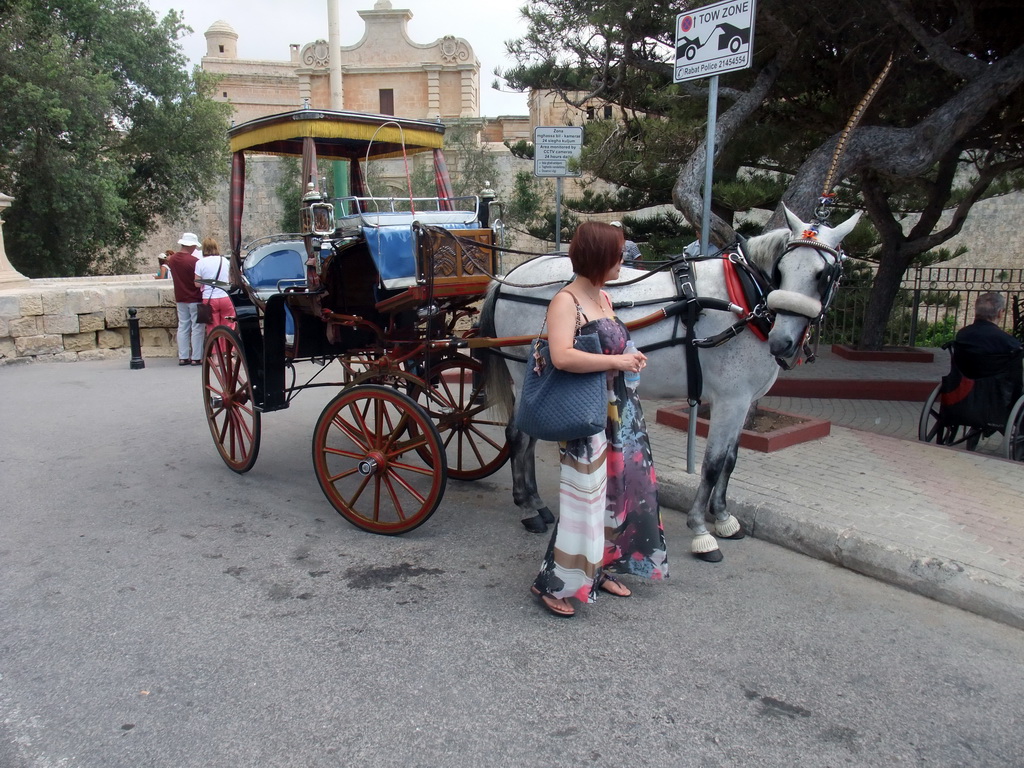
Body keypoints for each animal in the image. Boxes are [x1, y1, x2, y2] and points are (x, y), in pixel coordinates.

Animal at [477, 207, 856, 561]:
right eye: (782, 268)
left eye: (824, 274)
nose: (782, 343)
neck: (743, 298)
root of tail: (508, 278)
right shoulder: (730, 400)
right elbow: (713, 463)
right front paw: (701, 530)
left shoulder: (743, 401)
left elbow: (731, 460)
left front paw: (723, 516)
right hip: (526, 374)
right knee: (519, 437)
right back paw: (528, 509)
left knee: (527, 438)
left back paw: (536, 504)